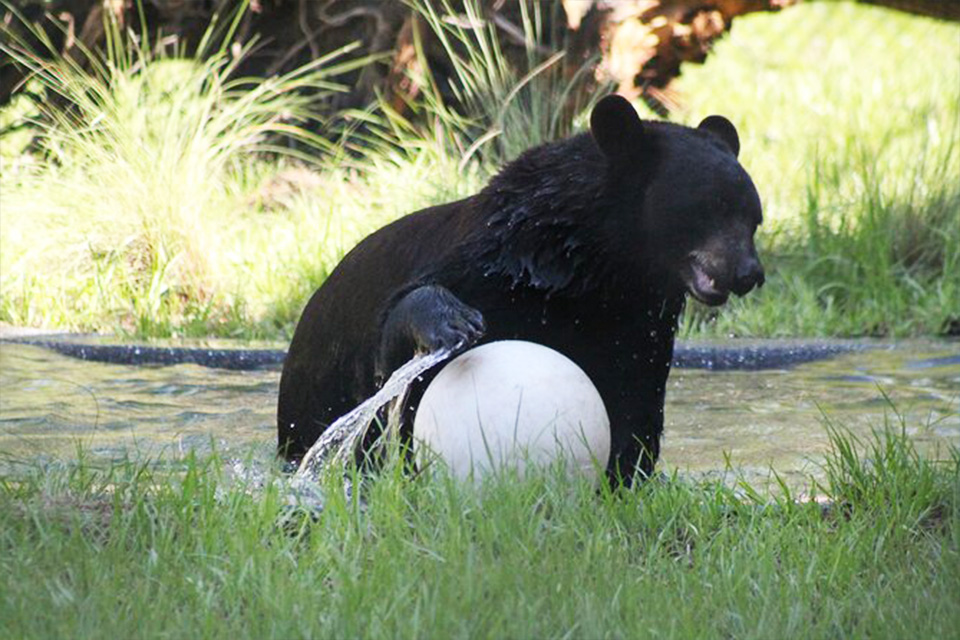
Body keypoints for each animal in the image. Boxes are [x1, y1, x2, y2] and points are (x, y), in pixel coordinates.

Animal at [280, 95, 764, 484]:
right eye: (711, 206)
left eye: (753, 217)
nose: (749, 273)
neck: (593, 266)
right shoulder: (486, 265)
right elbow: (392, 353)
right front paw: (452, 322)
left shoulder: (637, 319)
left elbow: (634, 399)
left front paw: (622, 479)